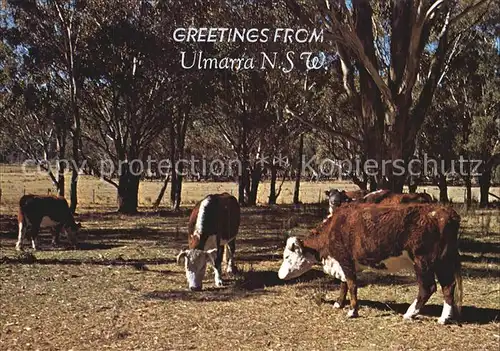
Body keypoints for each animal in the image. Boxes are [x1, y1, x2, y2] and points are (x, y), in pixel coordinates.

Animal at [278, 205, 460, 326]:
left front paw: (352, 311)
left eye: (287, 256)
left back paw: (410, 313)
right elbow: (344, 283)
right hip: (442, 262)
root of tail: (446, 213)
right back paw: (444, 318)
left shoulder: (345, 259)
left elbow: (352, 284)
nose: (280, 275)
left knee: (428, 287)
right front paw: (339, 303)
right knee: (448, 286)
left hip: (423, 262)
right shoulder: (345, 264)